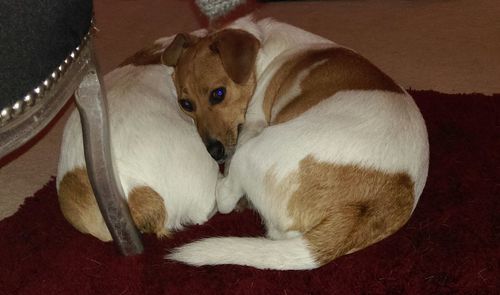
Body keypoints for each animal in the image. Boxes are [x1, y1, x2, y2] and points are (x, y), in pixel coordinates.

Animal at [162, 15, 428, 270]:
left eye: (218, 94)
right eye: (186, 105)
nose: (214, 152)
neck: (263, 52)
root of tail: (363, 208)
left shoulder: (254, 121)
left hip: (253, 150)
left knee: (225, 197)